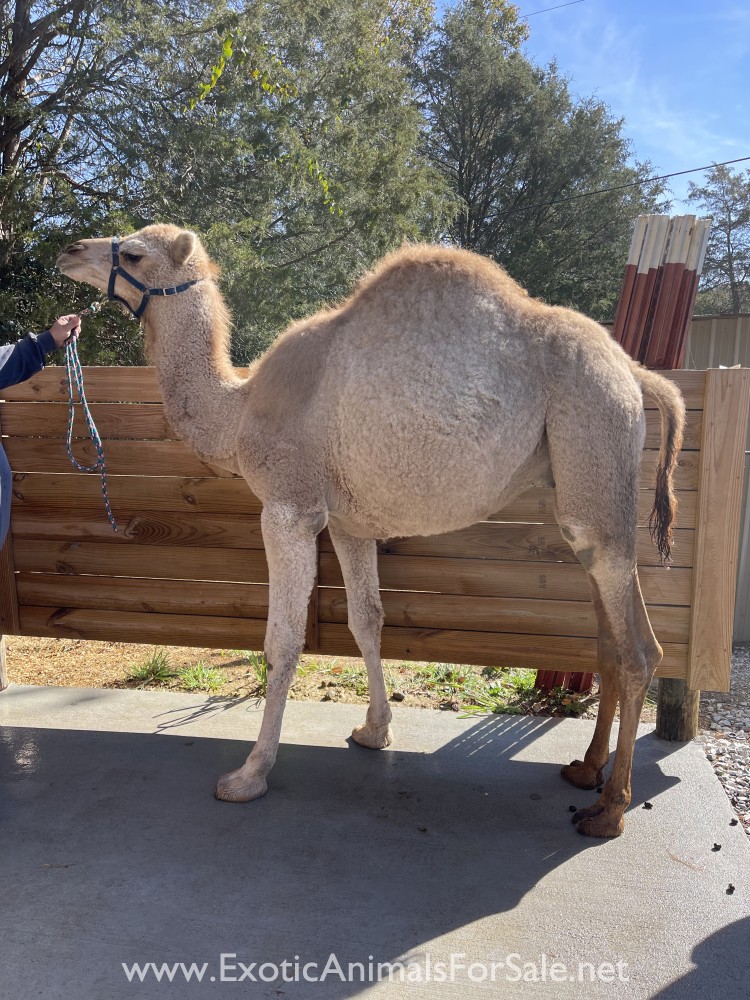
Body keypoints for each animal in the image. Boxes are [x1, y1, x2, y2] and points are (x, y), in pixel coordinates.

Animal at [57, 223, 685, 838]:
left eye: (135, 254)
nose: (68, 249)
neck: (240, 409)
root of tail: (632, 372)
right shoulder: (347, 523)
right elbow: (367, 621)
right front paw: (373, 731)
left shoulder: (287, 508)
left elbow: (282, 642)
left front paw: (249, 775)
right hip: (582, 477)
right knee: (612, 637)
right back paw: (585, 769)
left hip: (593, 438)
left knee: (638, 648)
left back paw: (609, 810)